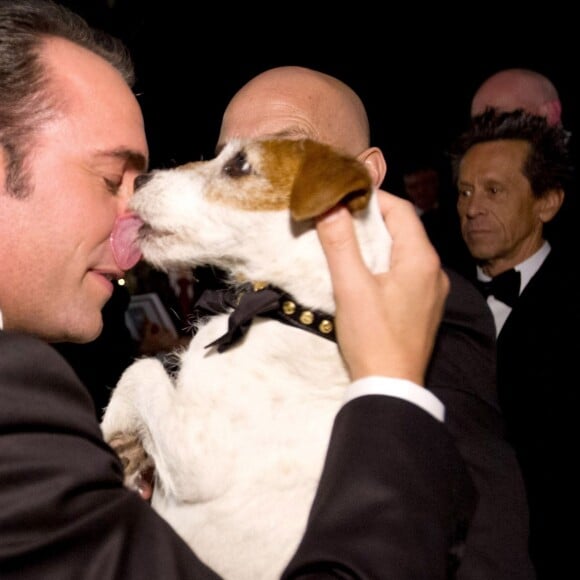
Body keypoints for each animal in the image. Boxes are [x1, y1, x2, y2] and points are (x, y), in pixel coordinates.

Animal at [102, 139, 392, 580]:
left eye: (239, 165)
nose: (141, 179)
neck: (293, 309)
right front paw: (130, 455)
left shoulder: (196, 458)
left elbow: (141, 370)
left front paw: (111, 438)